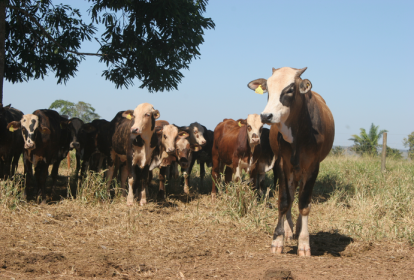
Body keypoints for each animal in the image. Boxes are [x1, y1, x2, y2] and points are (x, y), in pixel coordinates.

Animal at [247, 66, 334, 258]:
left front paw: (304, 243)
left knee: (301, 197)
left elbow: (305, 204)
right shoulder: (282, 165)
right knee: (292, 195)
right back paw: (288, 229)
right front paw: (278, 239)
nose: (266, 116)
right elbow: (284, 201)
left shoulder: (312, 167)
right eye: (267, 89)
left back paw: (299, 228)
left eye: (290, 90)